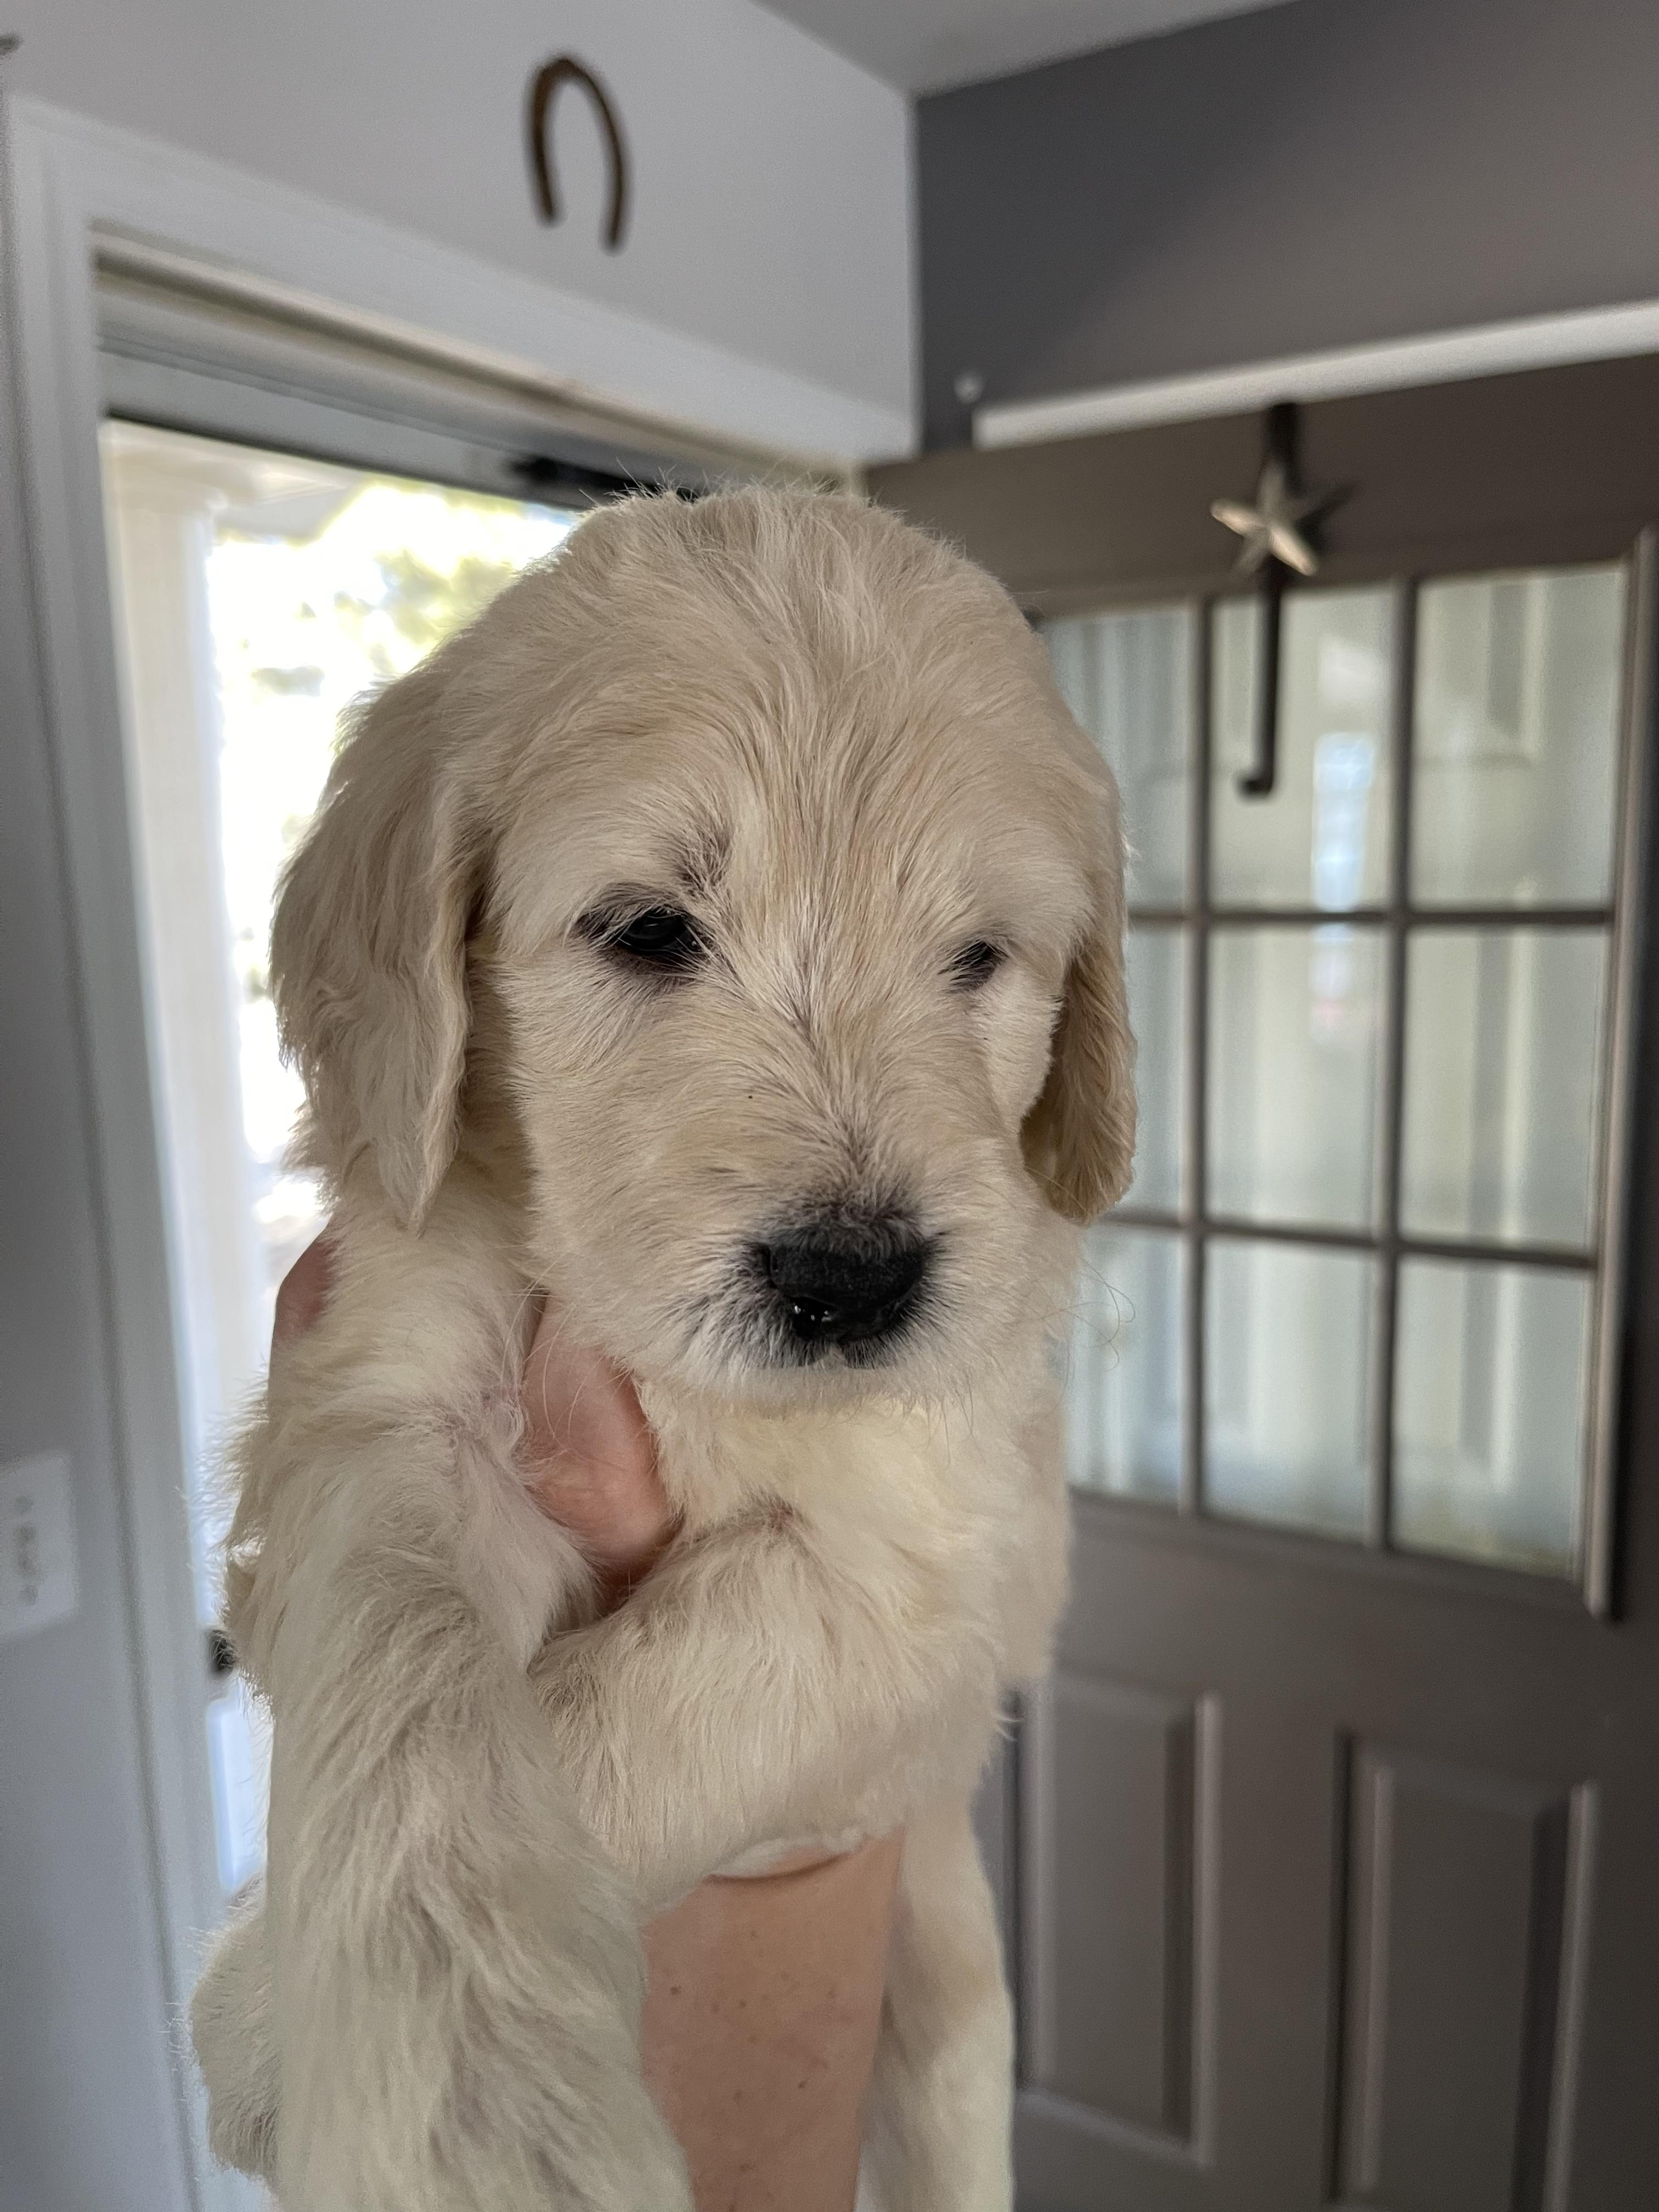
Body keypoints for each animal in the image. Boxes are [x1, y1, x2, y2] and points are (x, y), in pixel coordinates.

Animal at [188, 484, 1134, 2210]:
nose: (853, 1283)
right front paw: (465, 2104)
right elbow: (411, 1690)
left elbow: (646, 1707)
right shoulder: (387, 1390)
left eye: (979, 957)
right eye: (646, 930)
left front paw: (266, 2024)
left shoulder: (946, 1569)